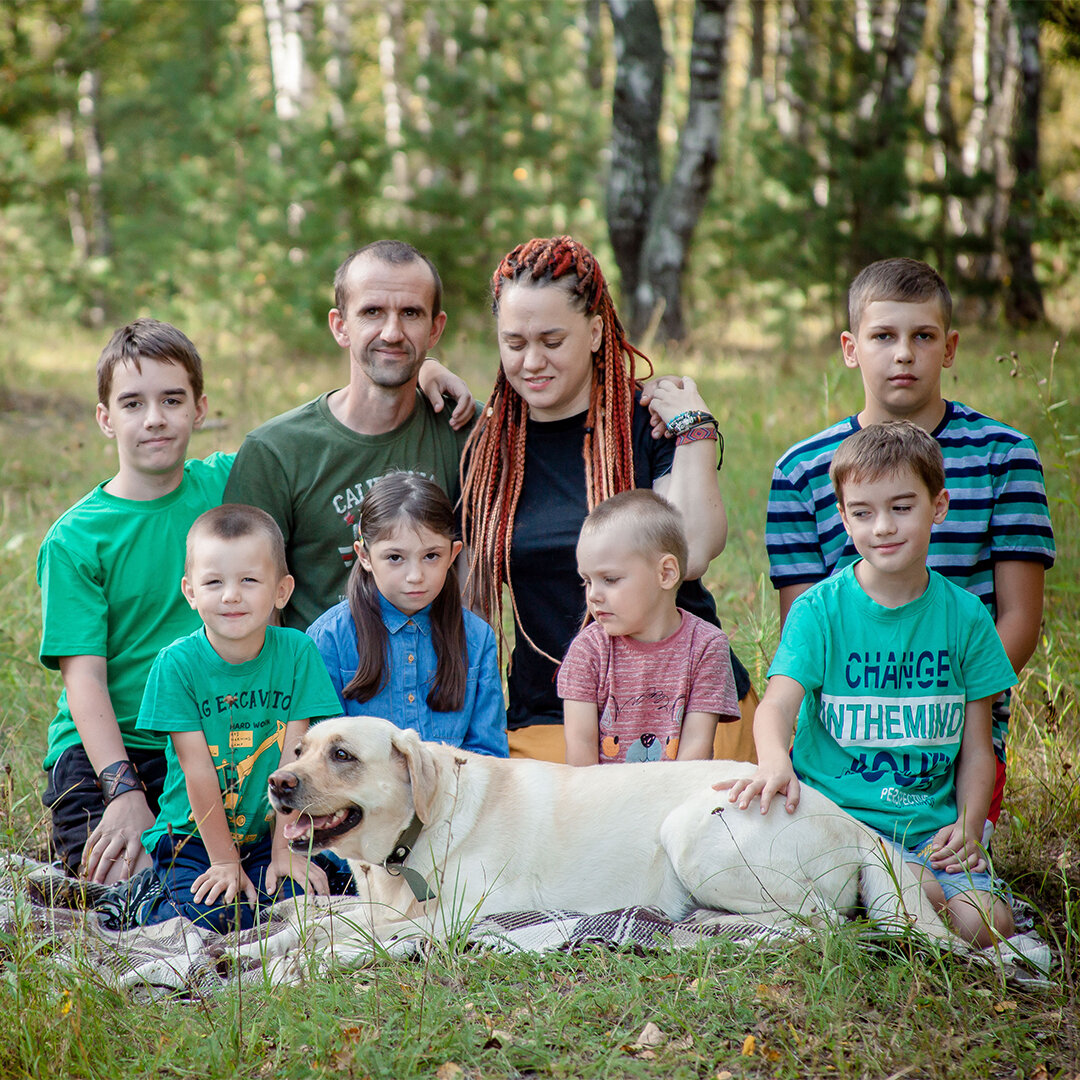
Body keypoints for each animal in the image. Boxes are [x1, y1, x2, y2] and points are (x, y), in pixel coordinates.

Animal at [267, 717, 954, 946]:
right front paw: (288, 918)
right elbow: (331, 913)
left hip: (691, 833)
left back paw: (702, 920)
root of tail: (851, 820)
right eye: (300, 749)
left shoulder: (456, 918)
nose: (276, 783)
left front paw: (288, 946)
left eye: (342, 755)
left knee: (818, 916)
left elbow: (352, 930)